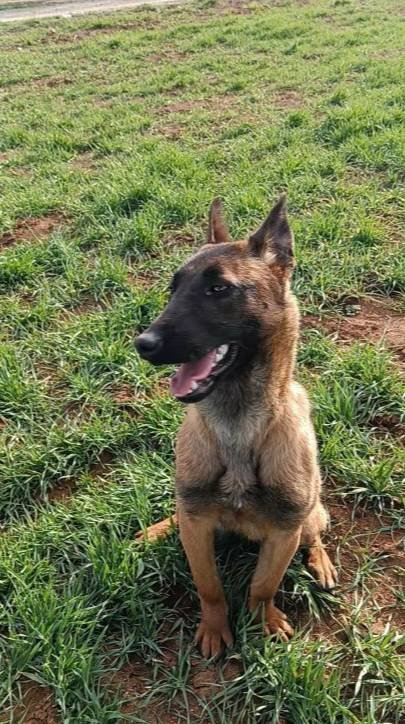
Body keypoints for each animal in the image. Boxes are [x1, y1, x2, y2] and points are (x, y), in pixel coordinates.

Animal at [135, 195, 337, 657]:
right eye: (172, 289)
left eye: (219, 289)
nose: (142, 343)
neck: (237, 425)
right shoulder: (198, 526)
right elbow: (209, 586)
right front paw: (214, 628)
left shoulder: (284, 532)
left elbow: (263, 585)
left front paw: (264, 620)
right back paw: (159, 528)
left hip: (311, 514)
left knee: (315, 533)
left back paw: (320, 561)